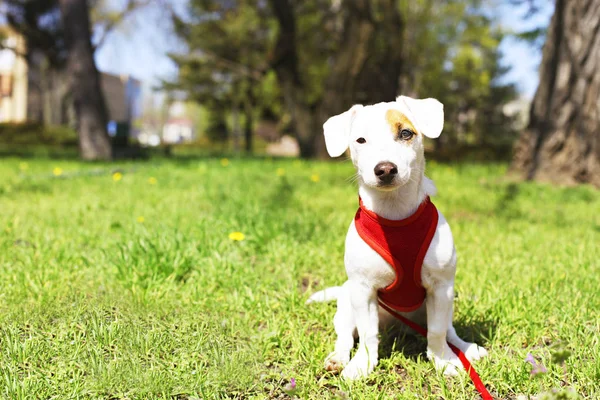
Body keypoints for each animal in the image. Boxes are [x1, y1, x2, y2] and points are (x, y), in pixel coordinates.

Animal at [310, 95, 488, 380]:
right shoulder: (363, 290)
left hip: (447, 302)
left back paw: (465, 348)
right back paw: (338, 358)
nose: (384, 169)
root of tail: (399, 328)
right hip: (347, 302)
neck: (394, 214)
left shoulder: (441, 287)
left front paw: (443, 360)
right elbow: (368, 335)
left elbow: (437, 332)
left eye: (405, 133)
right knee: (346, 336)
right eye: (360, 140)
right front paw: (363, 364)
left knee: (448, 330)